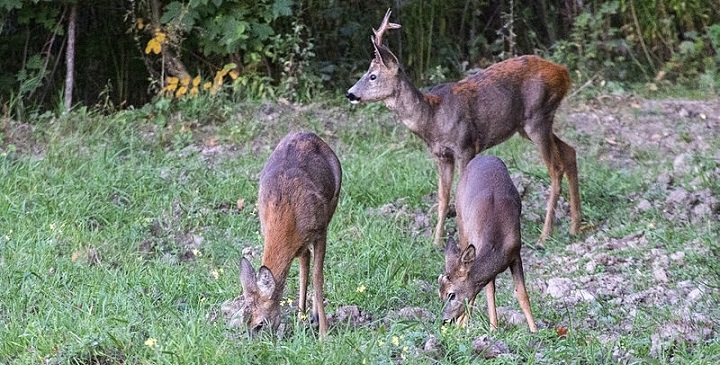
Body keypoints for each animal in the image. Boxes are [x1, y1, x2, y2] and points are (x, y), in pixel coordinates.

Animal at [239, 130, 344, 336]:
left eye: (259, 324)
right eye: (244, 322)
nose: (254, 342)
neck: (285, 214)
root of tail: (306, 133)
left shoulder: (321, 231)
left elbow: (318, 277)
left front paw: (324, 333)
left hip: (333, 201)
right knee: (305, 260)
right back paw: (304, 317)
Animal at [346, 9, 584, 247]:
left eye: (373, 76)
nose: (350, 93)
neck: (433, 119)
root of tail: (564, 73)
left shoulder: (465, 146)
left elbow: (461, 193)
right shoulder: (441, 155)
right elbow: (443, 197)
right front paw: (436, 241)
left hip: (537, 118)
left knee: (555, 168)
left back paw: (545, 235)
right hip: (528, 125)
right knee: (570, 151)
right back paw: (574, 226)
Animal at [436, 155, 536, 332]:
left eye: (451, 294)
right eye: (439, 294)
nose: (445, 320)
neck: (497, 243)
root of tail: (484, 156)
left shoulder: (516, 252)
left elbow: (522, 294)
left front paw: (535, 330)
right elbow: (488, 293)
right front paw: (493, 329)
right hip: (462, 223)